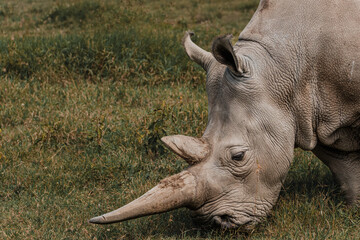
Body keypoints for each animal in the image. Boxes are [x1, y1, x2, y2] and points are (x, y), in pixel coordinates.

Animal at [88, 0, 358, 229]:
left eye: (238, 157)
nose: (215, 223)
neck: (283, 65)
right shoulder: (309, 115)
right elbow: (344, 165)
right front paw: (355, 209)